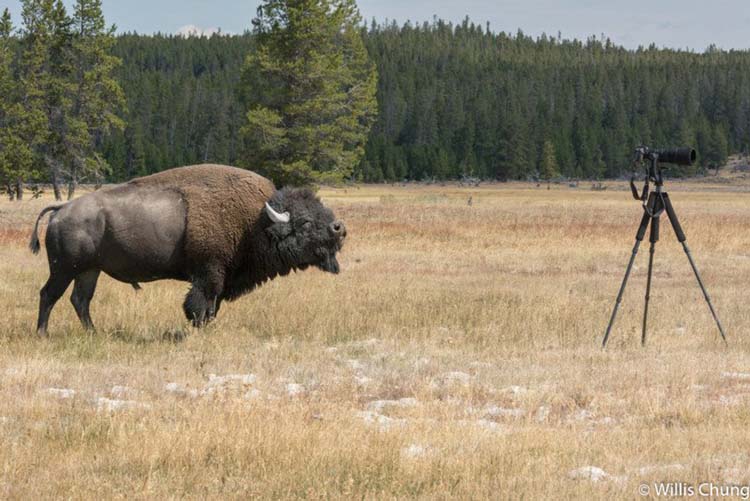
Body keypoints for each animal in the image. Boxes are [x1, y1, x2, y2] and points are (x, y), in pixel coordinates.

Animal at [28, 165, 346, 336]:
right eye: (304, 221)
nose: (339, 228)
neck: (255, 221)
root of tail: (61, 209)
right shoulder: (209, 273)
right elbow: (200, 305)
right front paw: (199, 328)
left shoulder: (220, 278)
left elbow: (212, 307)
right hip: (64, 269)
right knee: (49, 295)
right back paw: (43, 333)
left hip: (89, 270)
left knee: (80, 300)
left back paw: (94, 333)